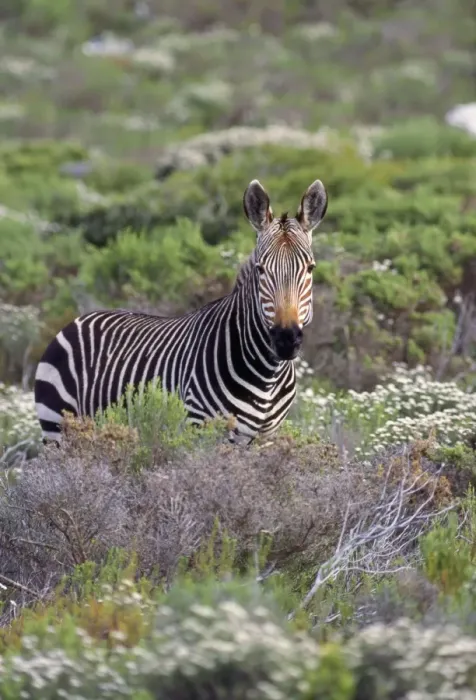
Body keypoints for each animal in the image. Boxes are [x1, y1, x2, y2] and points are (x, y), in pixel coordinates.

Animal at [34, 178, 328, 445]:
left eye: (310, 268)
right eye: (261, 269)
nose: (286, 339)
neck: (268, 376)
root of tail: (80, 318)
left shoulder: (267, 439)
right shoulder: (200, 430)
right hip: (57, 428)